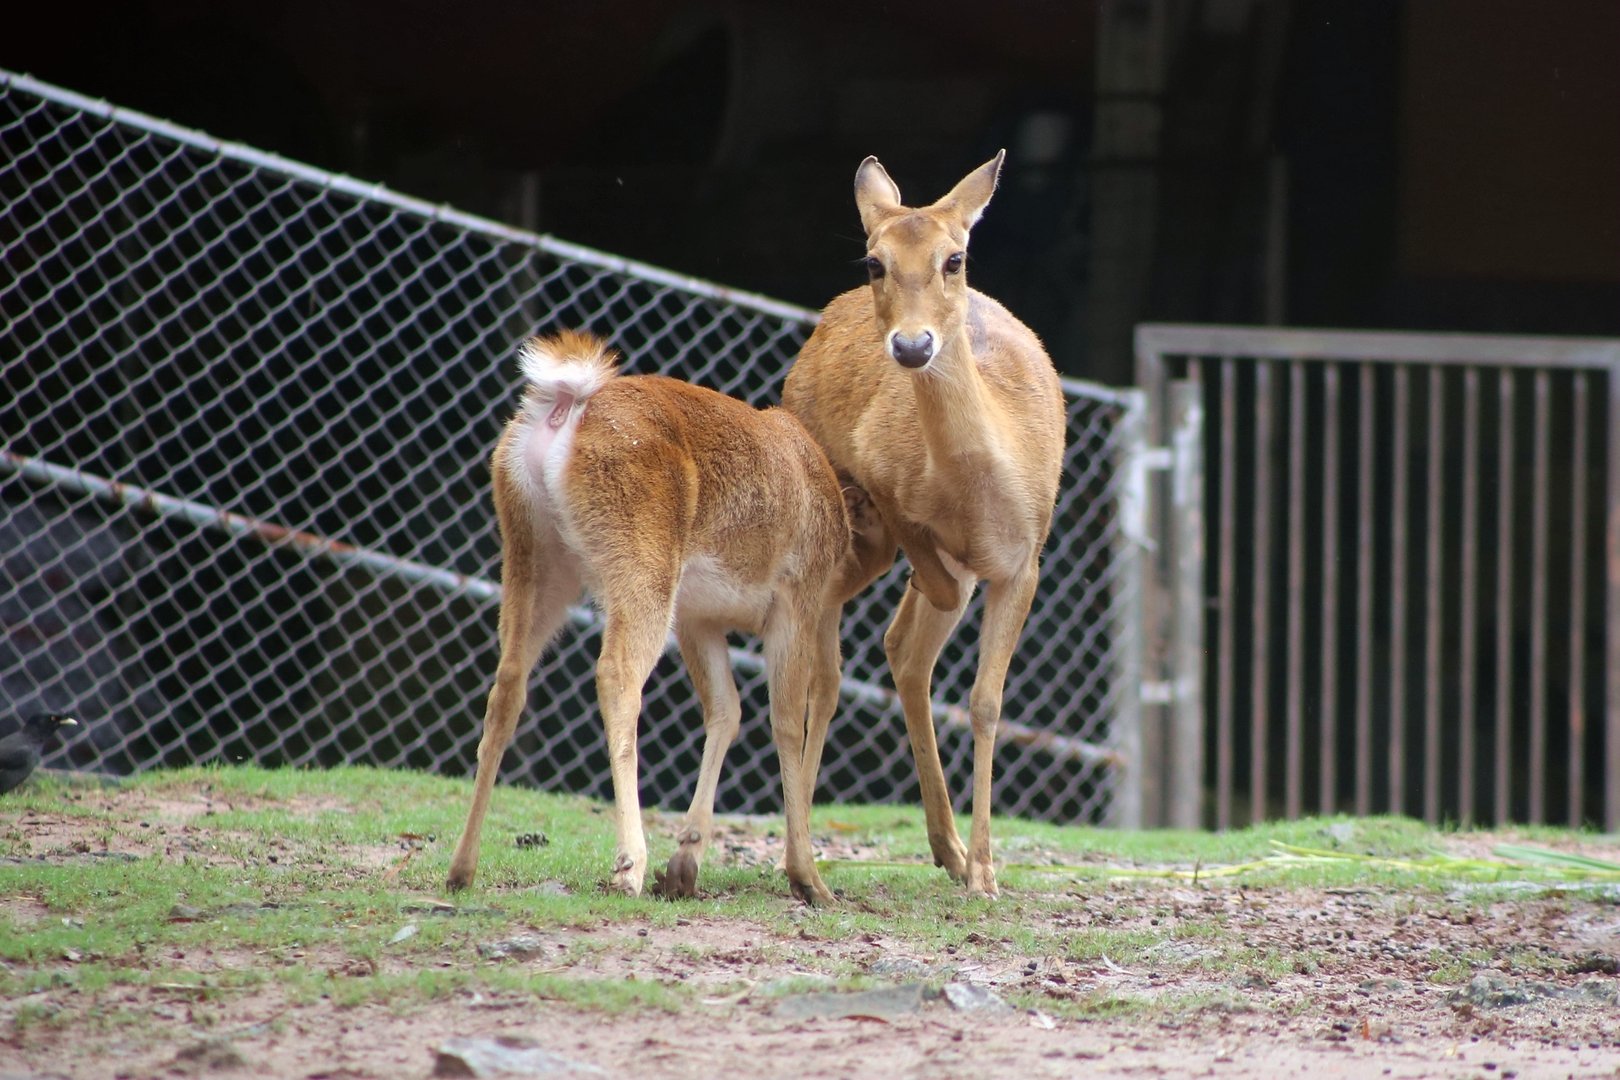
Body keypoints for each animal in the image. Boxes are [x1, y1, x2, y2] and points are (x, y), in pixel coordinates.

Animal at [445, 330, 887, 905]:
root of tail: (565, 404)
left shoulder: (699, 618)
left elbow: (726, 711)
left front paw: (684, 868)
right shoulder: (796, 599)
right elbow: (786, 720)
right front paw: (809, 880)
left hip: (531, 555)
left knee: (507, 684)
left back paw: (461, 869)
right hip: (642, 563)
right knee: (616, 674)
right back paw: (629, 865)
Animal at [781, 152, 1067, 898]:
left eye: (954, 257)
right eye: (874, 260)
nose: (912, 346)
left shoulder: (1025, 563)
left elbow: (987, 700)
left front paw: (987, 874)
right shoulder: (884, 481)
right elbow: (923, 574)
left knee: (902, 658)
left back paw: (951, 852)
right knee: (833, 670)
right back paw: (810, 862)